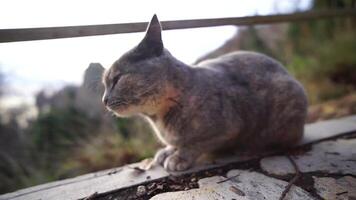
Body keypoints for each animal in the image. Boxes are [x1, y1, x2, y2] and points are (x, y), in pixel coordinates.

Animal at [101, 14, 308, 171]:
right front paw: (168, 150)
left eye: (116, 79)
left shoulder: (228, 127)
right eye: (105, 84)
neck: (159, 119)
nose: (104, 100)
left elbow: (196, 143)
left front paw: (178, 157)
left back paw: (250, 149)